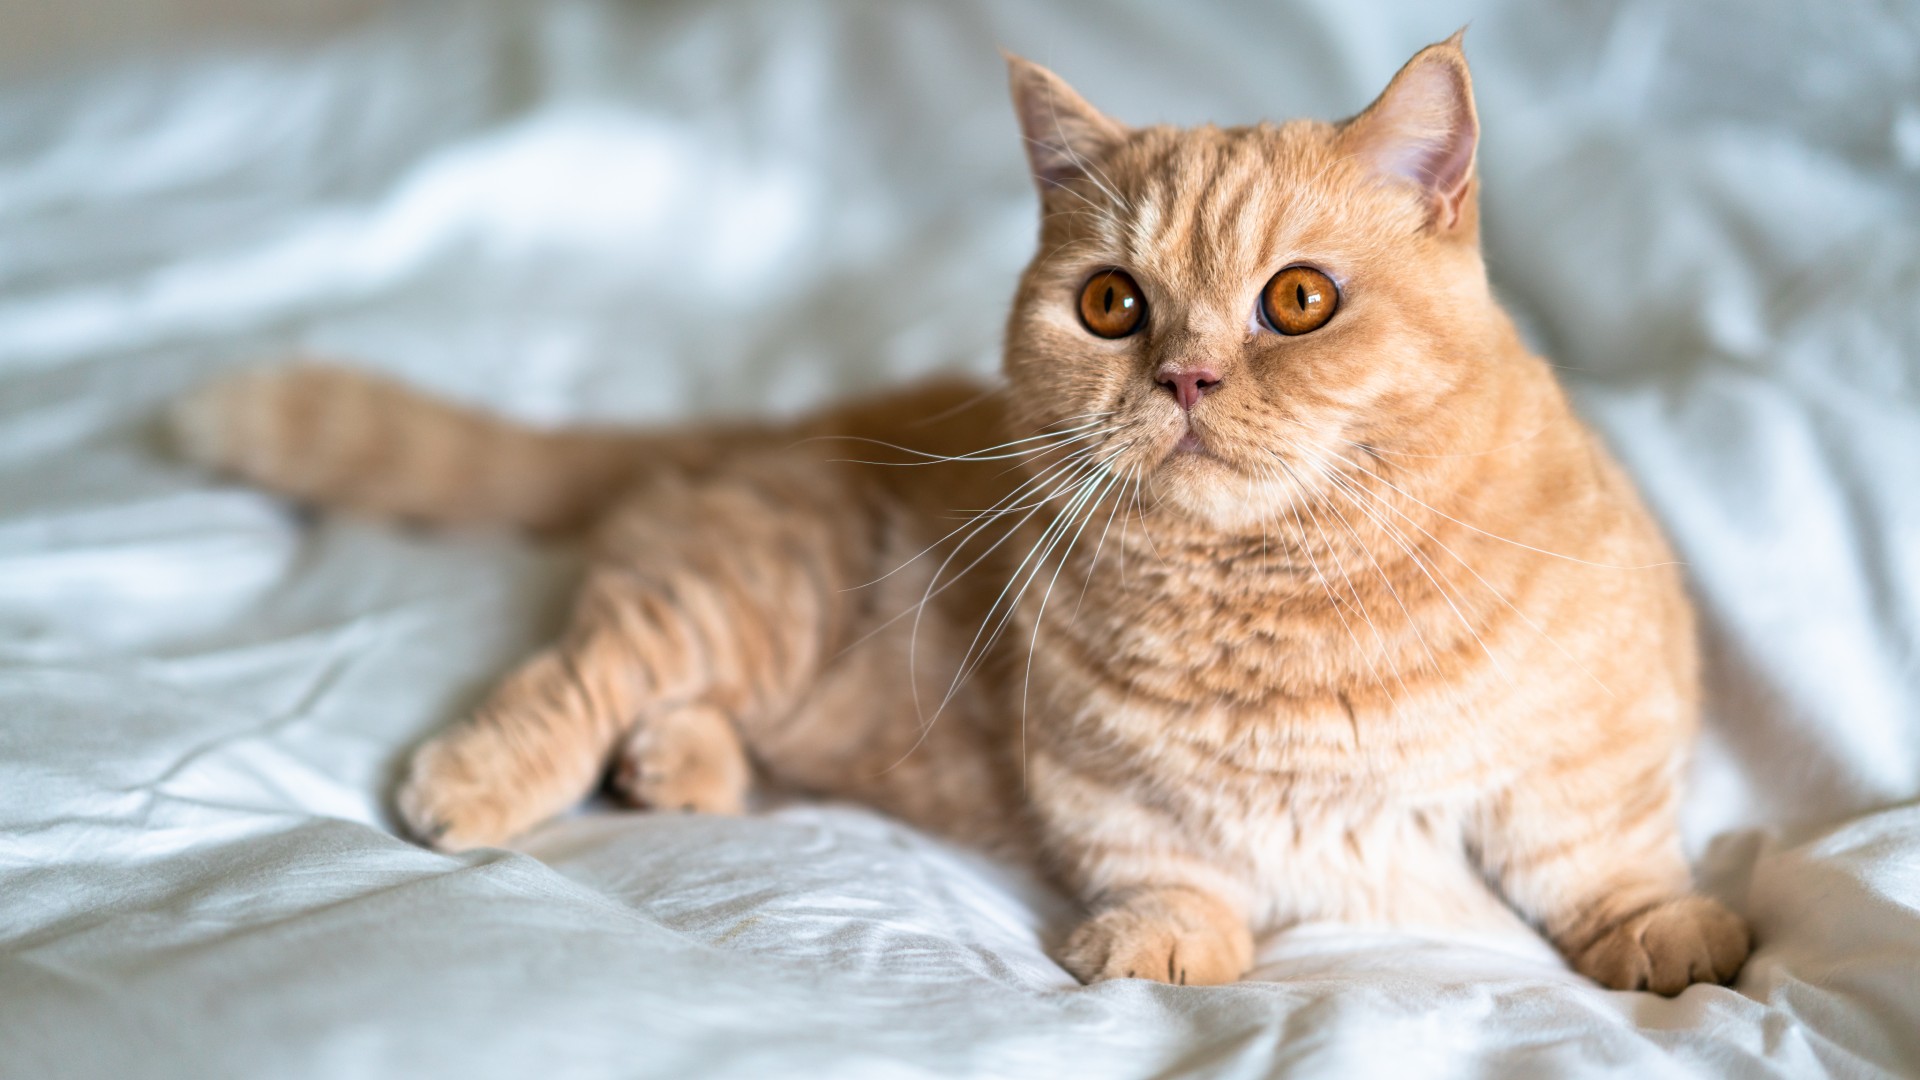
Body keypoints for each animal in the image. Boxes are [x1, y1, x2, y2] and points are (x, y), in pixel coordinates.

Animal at [172, 35, 1751, 991]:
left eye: (1298, 301)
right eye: (1111, 304)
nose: (1184, 373)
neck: (1272, 593)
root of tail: (789, 421)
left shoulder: (1595, 736)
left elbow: (1600, 851)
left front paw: (1667, 933)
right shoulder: (1107, 786)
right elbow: (1167, 866)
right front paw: (1166, 943)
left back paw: (674, 767)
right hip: (750, 595)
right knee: (589, 663)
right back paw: (490, 778)